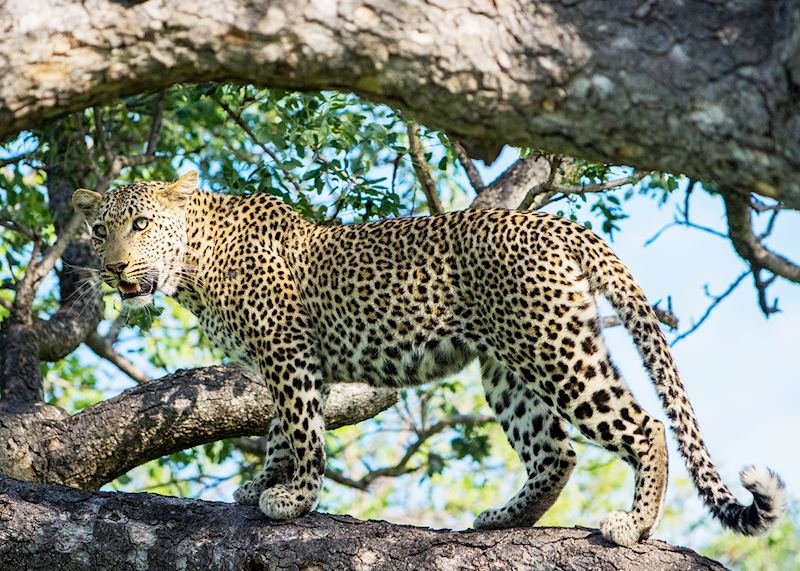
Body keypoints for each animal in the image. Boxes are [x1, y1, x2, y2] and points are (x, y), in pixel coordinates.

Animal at [72, 172, 784, 548]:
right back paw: (504, 520)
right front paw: (263, 484)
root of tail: (554, 222)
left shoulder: (290, 355)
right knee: (555, 452)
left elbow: (302, 430)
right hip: (507, 364)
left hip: (550, 348)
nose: (111, 270)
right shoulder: (283, 364)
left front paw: (295, 498)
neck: (195, 264)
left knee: (645, 425)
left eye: (139, 225)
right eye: (100, 230)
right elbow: (279, 430)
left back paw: (632, 526)